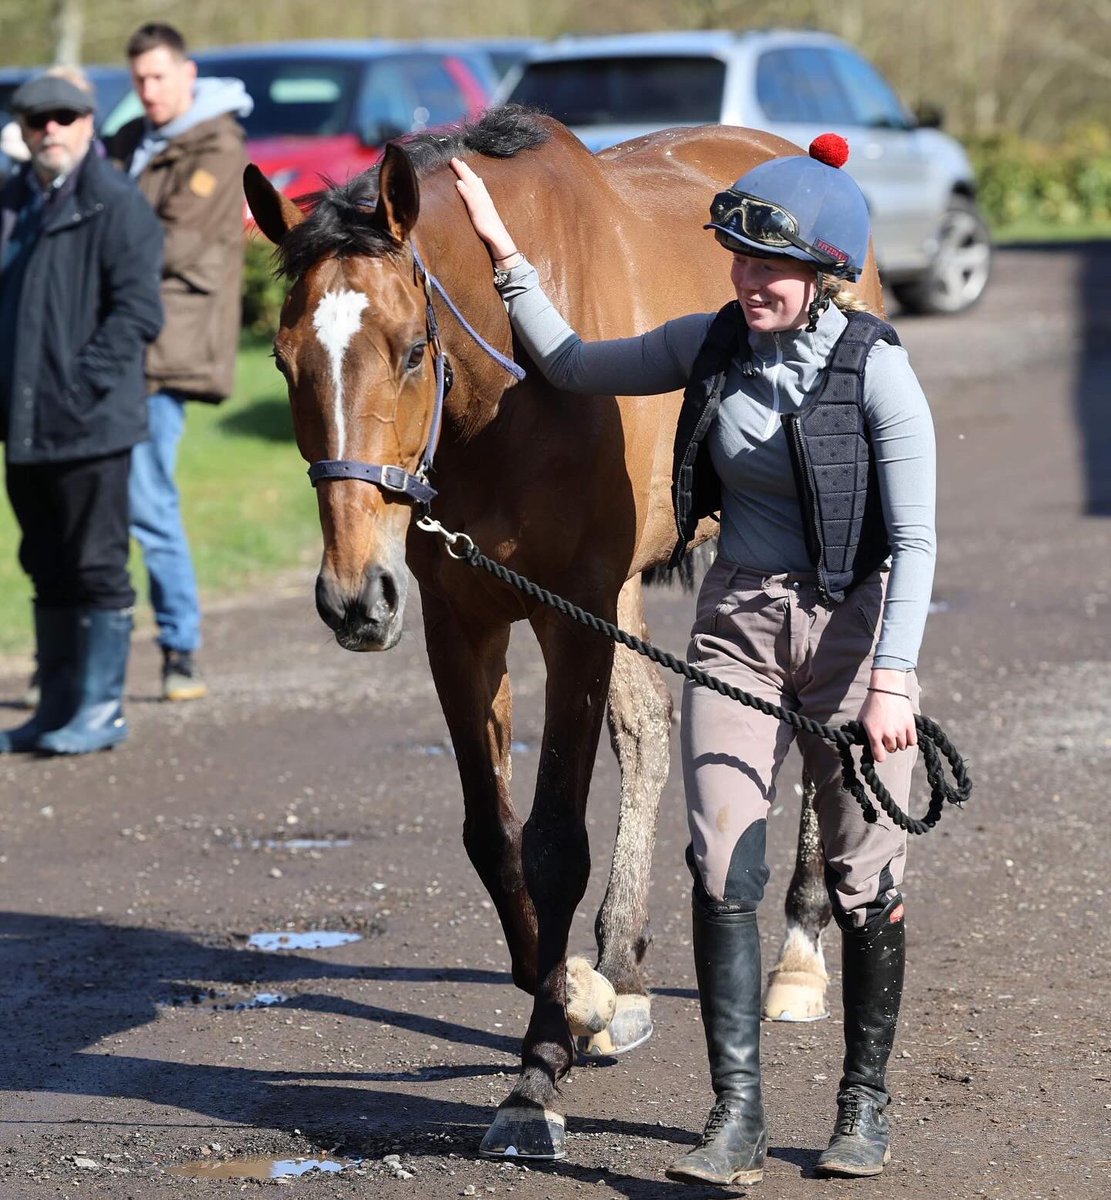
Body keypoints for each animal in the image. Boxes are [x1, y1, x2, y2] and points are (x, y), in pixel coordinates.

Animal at [245, 105, 887, 1161]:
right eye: (284, 359)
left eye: (409, 350)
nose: (353, 598)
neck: (513, 384)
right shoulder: (465, 619)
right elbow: (494, 837)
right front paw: (575, 990)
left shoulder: (568, 616)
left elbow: (552, 844)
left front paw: (537, 1071)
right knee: (650, 729)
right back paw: (619, 967)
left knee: (813, 724)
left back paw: (795, 952)